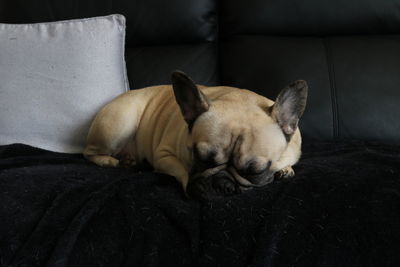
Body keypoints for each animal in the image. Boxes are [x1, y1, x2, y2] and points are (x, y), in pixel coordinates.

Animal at [83, 71, 310, 199]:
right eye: (200, 158)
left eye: (255, 171)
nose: (222, 184)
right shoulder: (164, 155)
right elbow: (181, 170)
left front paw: (285, 169)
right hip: (119, 126)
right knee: (89, 152)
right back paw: (113, 161)